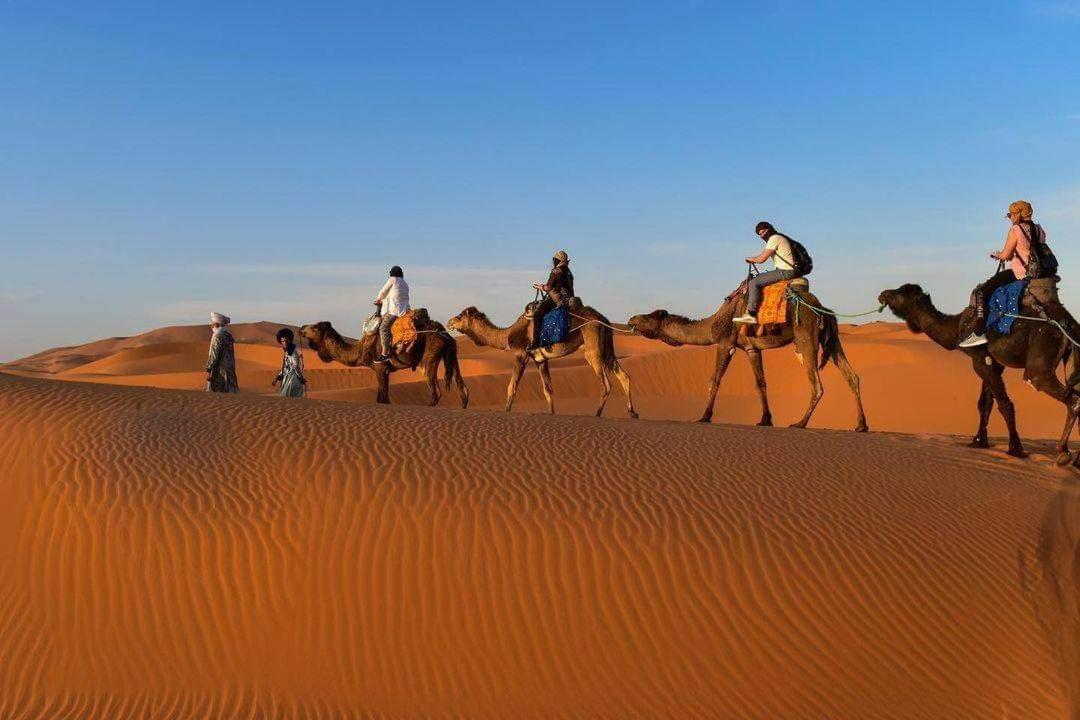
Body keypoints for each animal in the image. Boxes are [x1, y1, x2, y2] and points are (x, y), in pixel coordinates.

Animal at [298, 317, 466, 408]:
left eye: (314, 328)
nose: (301, 328)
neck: (360, 349)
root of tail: (445, 335)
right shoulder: (384, 371)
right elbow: (381, 399)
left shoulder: (381, 368)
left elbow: (384, 399)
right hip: (451, 355)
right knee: (462, 387)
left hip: (429, 359)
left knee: (435, 392)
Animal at [444, 302, 635, 416]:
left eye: (461, 316)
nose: (449, 322)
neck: (509, 335)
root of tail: (605, 321)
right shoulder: (540, 360)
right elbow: (547, 389)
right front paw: (551, 413)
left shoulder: (521, 354)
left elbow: (511, 387)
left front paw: (506, 411)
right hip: (607, 349)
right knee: (624, 376)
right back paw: (632, 412)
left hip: (592, 349)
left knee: (606, 384)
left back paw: (597, 414)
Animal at [626, 280, 868, 431]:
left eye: (648, 316)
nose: (631, 319)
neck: (713, 323)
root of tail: (823, 308)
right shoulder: (752, 349)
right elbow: (760, 383)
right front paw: (765, 420)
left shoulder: (726, 343)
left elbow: (715, 380)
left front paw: (704, 416)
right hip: (832, 340)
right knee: (852, 376)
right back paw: (861, 425)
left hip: (805, 336)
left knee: (817, 384)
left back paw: (800, 423)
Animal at [876, 280, 1080, 462]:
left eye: (899, 293)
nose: (882, 294)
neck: (956, 328)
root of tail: (1069, 324)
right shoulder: (990, 362)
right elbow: (985, 403)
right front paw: (979, 441)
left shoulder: (979, 359)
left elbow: (1004, 404)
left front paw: (1015, 449)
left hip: (1041, 357)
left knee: (1069, 397)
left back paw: (1063, 452)